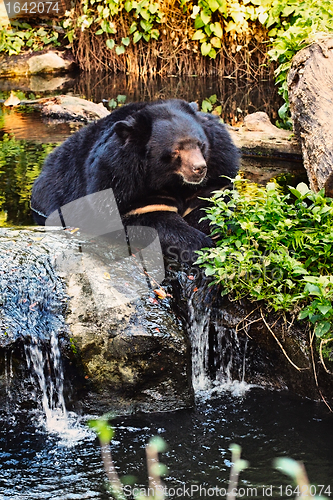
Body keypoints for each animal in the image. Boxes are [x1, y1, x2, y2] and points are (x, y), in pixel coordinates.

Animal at [31, 97, 239, 262]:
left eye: (200, 144)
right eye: (175, 151)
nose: (199, 169)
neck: (170, 180)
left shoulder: (218, 167)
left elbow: (211, 203)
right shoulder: (121, 181)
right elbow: (152, 219)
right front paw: (199, 244)